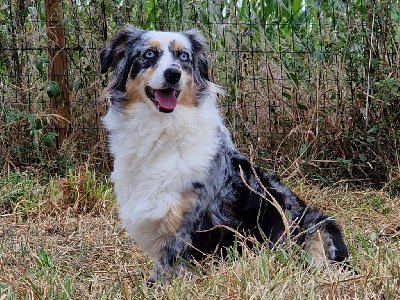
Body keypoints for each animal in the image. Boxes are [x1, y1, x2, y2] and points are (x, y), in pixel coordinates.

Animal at [101, 27, 348, 282]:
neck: (161, 128)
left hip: (319, 226)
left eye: (184, 57)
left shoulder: (183, 229)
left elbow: (165, 270)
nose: (173, 74)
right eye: (149, 54)